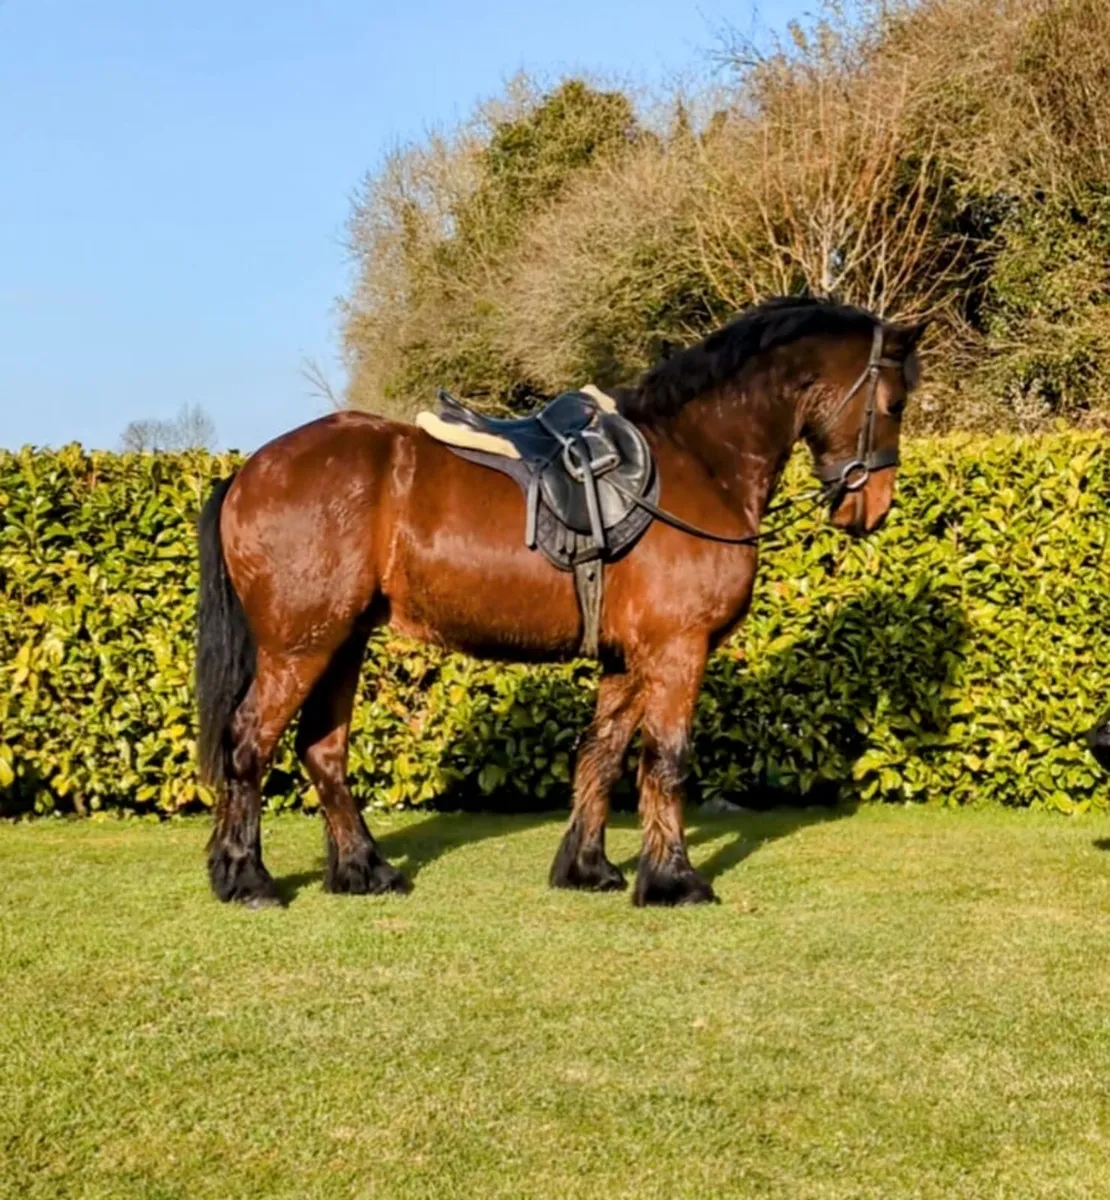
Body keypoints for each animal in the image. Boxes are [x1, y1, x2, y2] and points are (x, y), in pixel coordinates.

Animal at [195, 296, 927, 908]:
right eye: (894, 403)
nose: (873, 508)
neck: (697, 460)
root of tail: (249, 471)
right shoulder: (677, 650)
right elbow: (667, 761)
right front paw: (674, 881)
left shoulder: (627, 659)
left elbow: (601, 754)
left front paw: (588, 869)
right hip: (300, 645)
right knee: (249, 742)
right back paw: (248, 879)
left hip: (341, 642)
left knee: (322, 751)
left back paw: (364, 872)